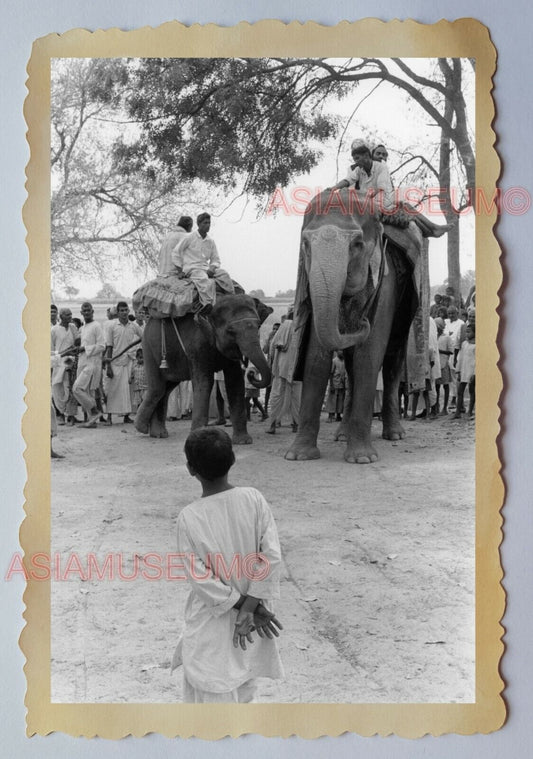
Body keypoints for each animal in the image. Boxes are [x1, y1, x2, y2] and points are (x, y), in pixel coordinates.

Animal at [135, 294, 272, 442]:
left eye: (258, 326)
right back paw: (143, 428)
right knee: (158, 388)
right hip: (149, 348)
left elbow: (234, 382)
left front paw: (243, 441)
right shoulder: (197, 345)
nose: (251, 373)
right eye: (230, 331)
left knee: (166, 388)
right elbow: (205, 382)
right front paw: (198, 435)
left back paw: (157, 434)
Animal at [284, 189, 422, 464]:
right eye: (306, 244)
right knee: (349, 367)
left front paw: (362, 459)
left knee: (392, 358)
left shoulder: (386, 284)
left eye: (357, 244)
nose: (362, 321)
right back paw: (342, 435)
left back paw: (395, 435)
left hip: (405, 307)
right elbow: (316, 359)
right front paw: (298, 455)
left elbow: (369, 356)